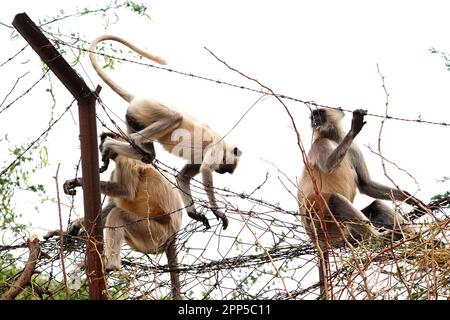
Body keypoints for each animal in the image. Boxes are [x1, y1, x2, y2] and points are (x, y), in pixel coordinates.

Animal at [63, 132, 183, 300]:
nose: (101, 152)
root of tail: (173, 235)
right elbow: (114, 203)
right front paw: (76, 225)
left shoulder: (125, 159)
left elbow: (126, 192)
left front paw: (80, 181)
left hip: (155, 234)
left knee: (118, 214)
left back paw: (110, 265)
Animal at [89, 35, 243, 230]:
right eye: (225, 167)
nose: (221, 171)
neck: (224, 144)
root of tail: (137, 98)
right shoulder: (216, 146)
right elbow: (206, 170)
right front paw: (217, 212)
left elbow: (182, 177)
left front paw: (194, 214)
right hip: (148, 110)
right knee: (171, 119)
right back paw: (111, 144)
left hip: (133, 118)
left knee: (148, 153)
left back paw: (110, 145)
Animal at [298, 108, 424, 248]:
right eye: (313, 115)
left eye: (319, 113)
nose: (314, 120)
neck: (334, 139)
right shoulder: (320, 143)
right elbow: (327, 166)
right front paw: (353, 129)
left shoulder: (353, 148)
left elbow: (365, 184)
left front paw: (411, 199)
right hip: (325, 226)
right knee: (336, 200)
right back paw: (380, 239)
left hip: (345, 230)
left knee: (377, 206)